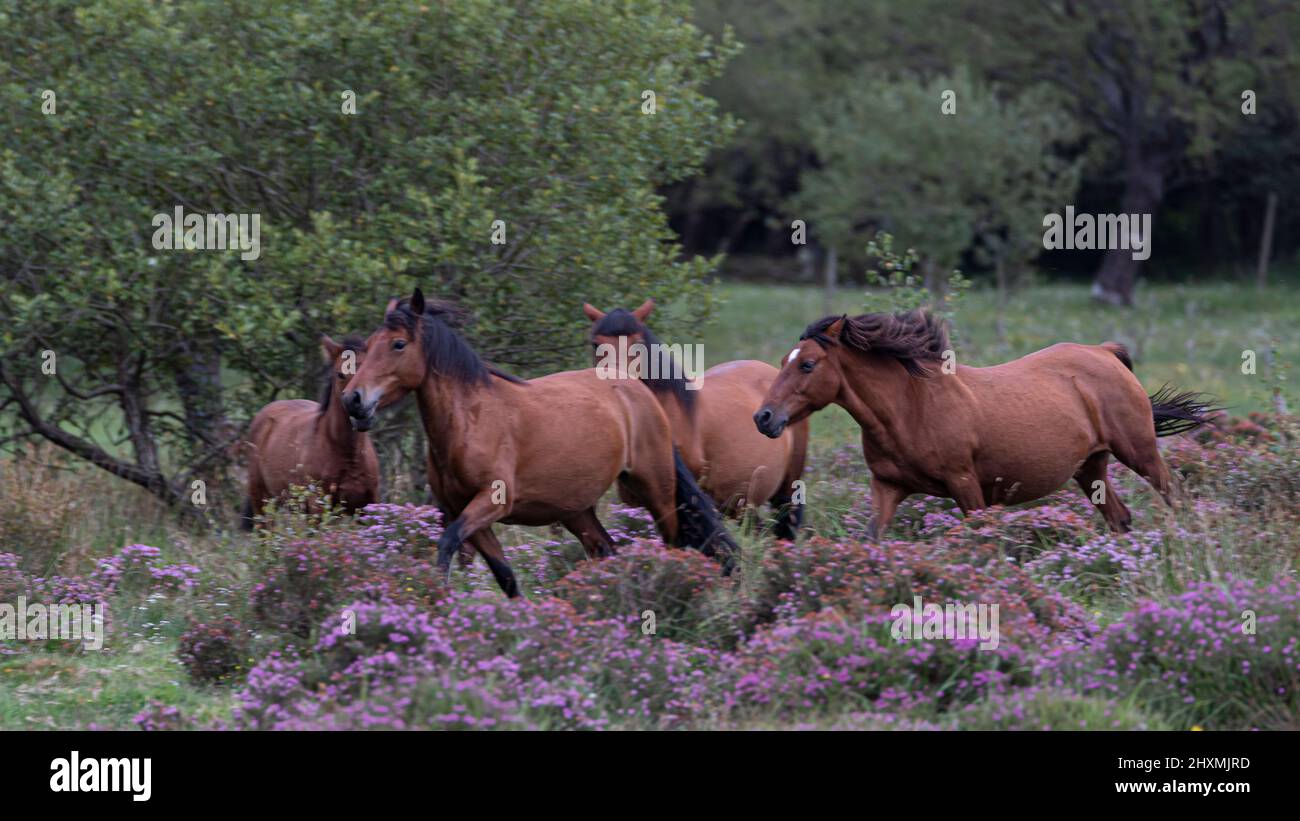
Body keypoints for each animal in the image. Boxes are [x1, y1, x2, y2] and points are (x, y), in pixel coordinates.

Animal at [241, 337, 379, 530]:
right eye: (340, 374)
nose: (361, 412)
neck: (348, 456)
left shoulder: (369, 506)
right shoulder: (319, 508)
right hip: (262, 502)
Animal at [340, 288, 738, 597]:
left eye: (398, 344)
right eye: (368, 345)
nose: (353, 400)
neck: (472, 421)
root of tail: (637, 390)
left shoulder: (492, 502)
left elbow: (447, 545)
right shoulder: (465, 512)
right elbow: (506, 577)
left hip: (656, 489)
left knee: (673, 542)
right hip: (577, 510)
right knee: (607, 550)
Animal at [754, 310, 1216, 535]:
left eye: (807, 364)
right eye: (783, 361)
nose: (764, 418)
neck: (909, 408)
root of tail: (1104, 352)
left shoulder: (965, 484)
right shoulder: (887, 487)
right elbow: (869, 539)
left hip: (1140, 453)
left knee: (1177, 497)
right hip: (1091, 468)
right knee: (1120, 518)